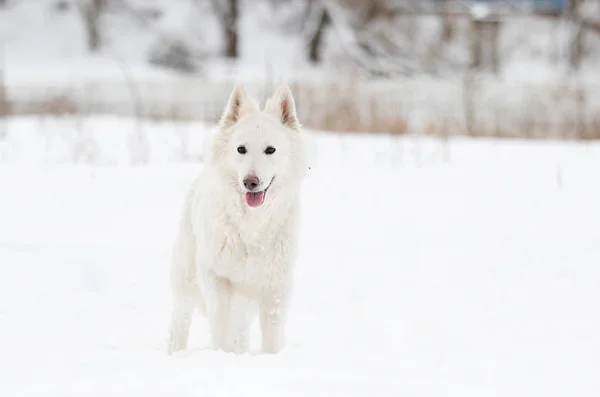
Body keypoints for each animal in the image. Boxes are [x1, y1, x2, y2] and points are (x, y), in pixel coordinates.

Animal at [168, 82, 310, 354]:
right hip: (186, 283)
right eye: (241, 149)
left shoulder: (276, 288)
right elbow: (221, 328)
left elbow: (272, 339)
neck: (252, 226)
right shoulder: (216, 279)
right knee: (179, 325)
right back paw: (175, 353)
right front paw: (223, 355)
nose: (250, 182)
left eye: (270, 150)